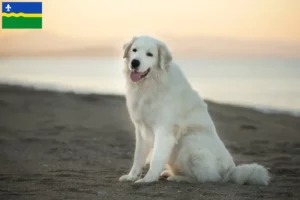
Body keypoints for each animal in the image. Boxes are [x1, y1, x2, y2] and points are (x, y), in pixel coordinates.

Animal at [118, 36, 270, 186]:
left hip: (190, 142)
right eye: (134, 50)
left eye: (149, 54)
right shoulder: (141, 129)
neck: (150, 85)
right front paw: (131, 176)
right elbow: (138, 157)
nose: (134, 62)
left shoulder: (164, 131)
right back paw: (170, 173)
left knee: (207, 178)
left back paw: (178, 178)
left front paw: (148, 179)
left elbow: (156, 159)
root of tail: (230, 170)